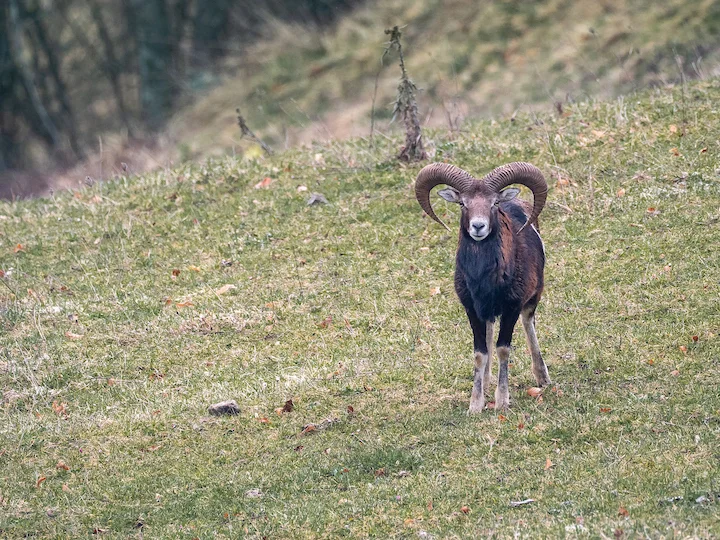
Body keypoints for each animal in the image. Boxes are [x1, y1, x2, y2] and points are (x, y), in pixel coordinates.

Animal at [414, 162, 550, 413]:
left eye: (494, 203)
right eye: (462, 203)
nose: (478, 227)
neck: (484, 278)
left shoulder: (511, 309)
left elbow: (503, 349)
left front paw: (502, 402)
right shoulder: (472, 309)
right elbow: (480, 353)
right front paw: (475, 405)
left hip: (532, 299)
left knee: (529, 324)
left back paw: (542, 378)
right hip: (486, 313)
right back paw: (486, 383)